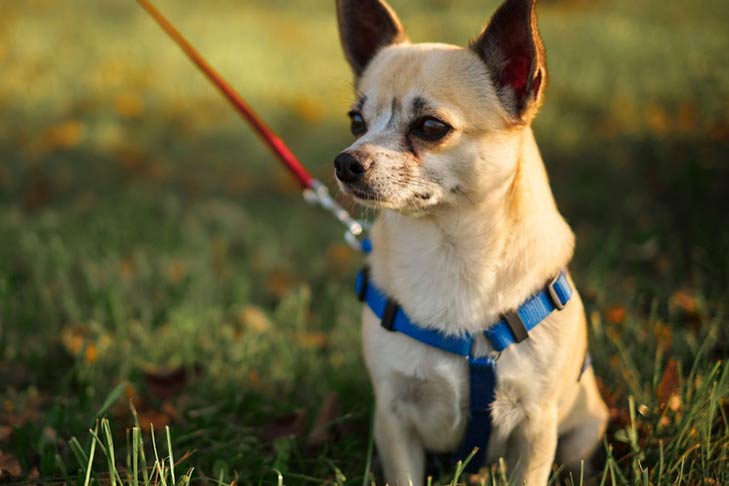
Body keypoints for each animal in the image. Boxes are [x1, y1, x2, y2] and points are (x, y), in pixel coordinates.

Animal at [334, 0, 608, 484]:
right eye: (356, 122)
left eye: (430, 127)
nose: (346, 162)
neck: (452, 255)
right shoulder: (394, 419)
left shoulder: (536, 426)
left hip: (582, 433)